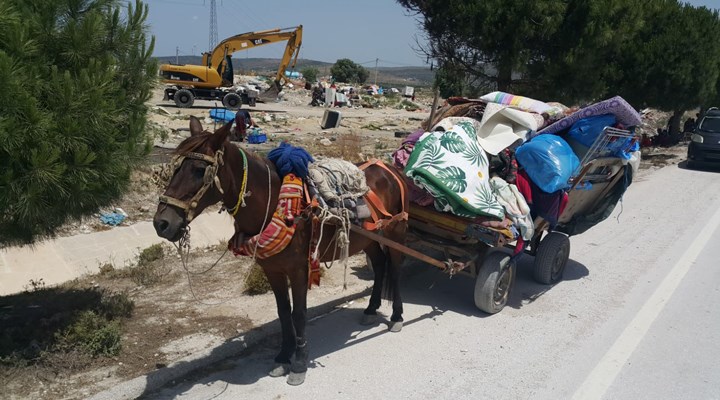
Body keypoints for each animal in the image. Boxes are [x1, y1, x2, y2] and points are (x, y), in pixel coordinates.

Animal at [154, 115, 408, 384]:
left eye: (200, 170)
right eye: (175, 168)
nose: (162, 223)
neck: (275, 201)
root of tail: (390, 169)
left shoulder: (299, 270)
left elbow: (299, 313)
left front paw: (300, 362)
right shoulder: (272, 270)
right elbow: (284, 312)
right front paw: (284, 356)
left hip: (396, 232)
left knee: (395, 270)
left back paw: (397, 316)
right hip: (368, 239)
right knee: (380, 265)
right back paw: (371, 309)